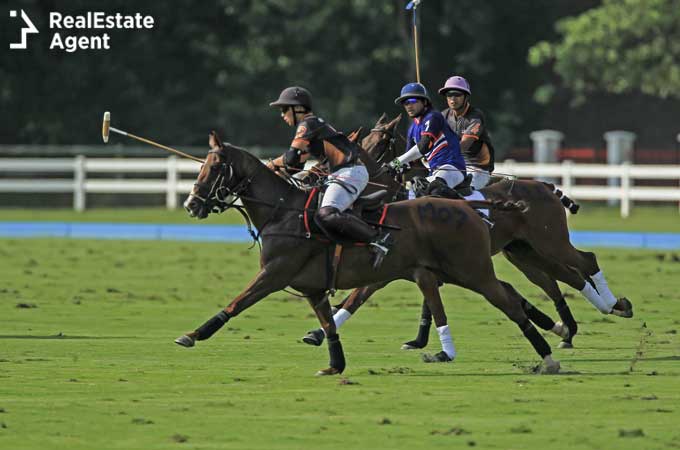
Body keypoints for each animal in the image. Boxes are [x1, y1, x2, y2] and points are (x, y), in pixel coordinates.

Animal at [177, 132, 564, 374]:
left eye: (213, 168)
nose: (191, 205)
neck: (282, 212)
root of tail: (469, 208)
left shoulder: (275, 272)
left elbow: (237, 303)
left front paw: (193, 335)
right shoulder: (313, 286)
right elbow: (330, 320)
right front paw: (334, 363)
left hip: (475, 269)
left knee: (514, 300)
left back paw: (549, 353)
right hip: (454, 271)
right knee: (506, 295)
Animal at [302, 115, 632, 352]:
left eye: (379, 143)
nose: (307, 175)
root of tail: (544, 185)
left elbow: (362, 295)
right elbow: (359, 298)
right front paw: (317, 333)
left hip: (550, 241)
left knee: (585, 262)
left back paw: (614, 306)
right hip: (524, 251)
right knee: (563, 278)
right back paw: (574, 328)